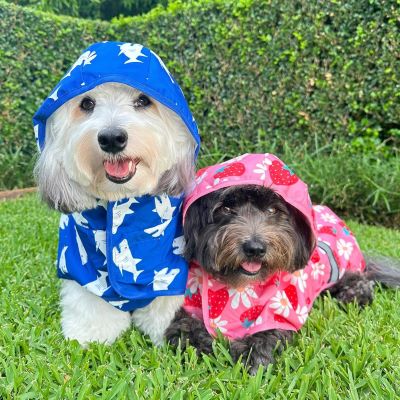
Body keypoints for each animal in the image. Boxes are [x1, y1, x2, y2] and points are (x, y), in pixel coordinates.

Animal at [33, 41, 199, 346]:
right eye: (86, 104)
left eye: (143, 101)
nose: (111, 138)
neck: (120, 201)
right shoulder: (81, 262)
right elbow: (90, 299)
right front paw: (91, 334)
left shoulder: (169, 260)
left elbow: (164, 299)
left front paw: (165, 330)